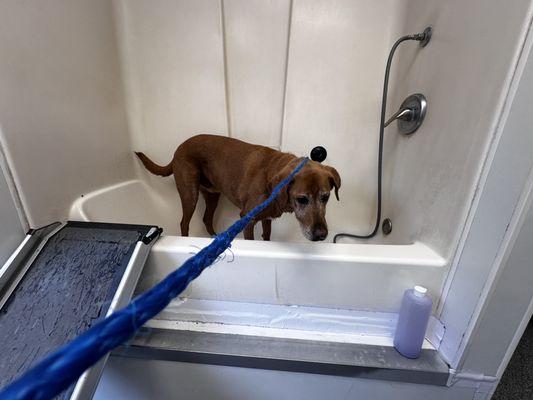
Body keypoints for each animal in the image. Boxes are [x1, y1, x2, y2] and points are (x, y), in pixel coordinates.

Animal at [135, 134, 338, 241]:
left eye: (326, 197)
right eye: (302, 199)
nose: (322, 235)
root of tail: (178, 148)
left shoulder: (267, 220)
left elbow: (267, 235)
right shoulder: (247, 219)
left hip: (212, 195)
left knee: (206, 219)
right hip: (189, 194)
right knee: (184, 222)